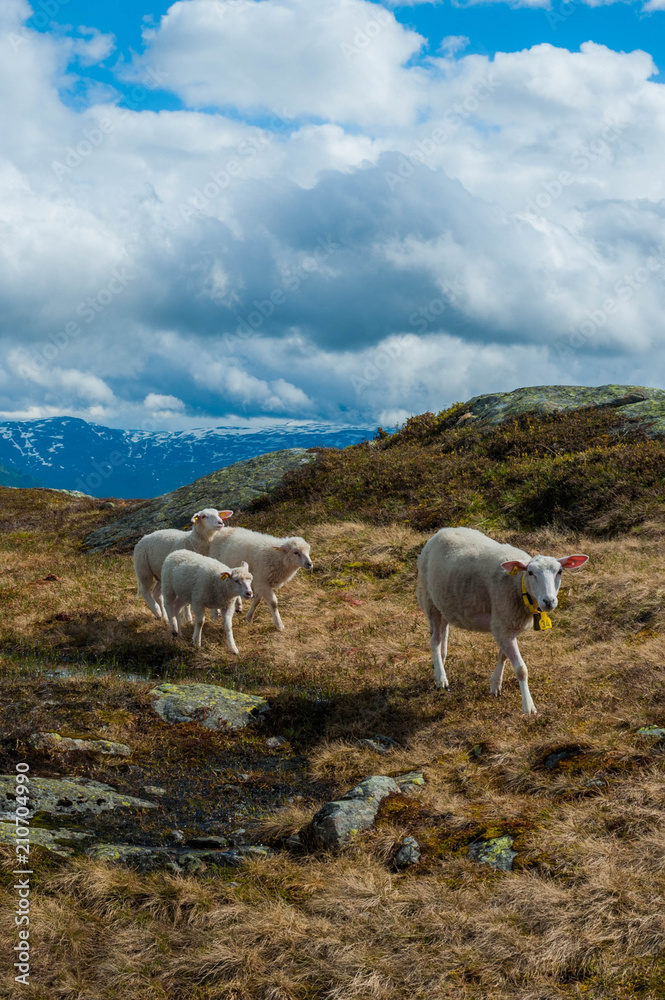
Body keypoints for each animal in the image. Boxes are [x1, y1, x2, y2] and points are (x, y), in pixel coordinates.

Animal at [416, 527, 588, 715]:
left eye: (560, 572)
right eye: (530, 573)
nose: (548, 601)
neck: (519, 585)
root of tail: (442, 531)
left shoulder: (507, 625)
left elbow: (503, 656)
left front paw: (495, 685)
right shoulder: (502, 624)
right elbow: (521, 669)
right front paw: (528, 706)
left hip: (445, 603)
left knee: (443, 636)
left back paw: (440, 665)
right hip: (429, 600)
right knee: (434, 641)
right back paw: (441, 678)